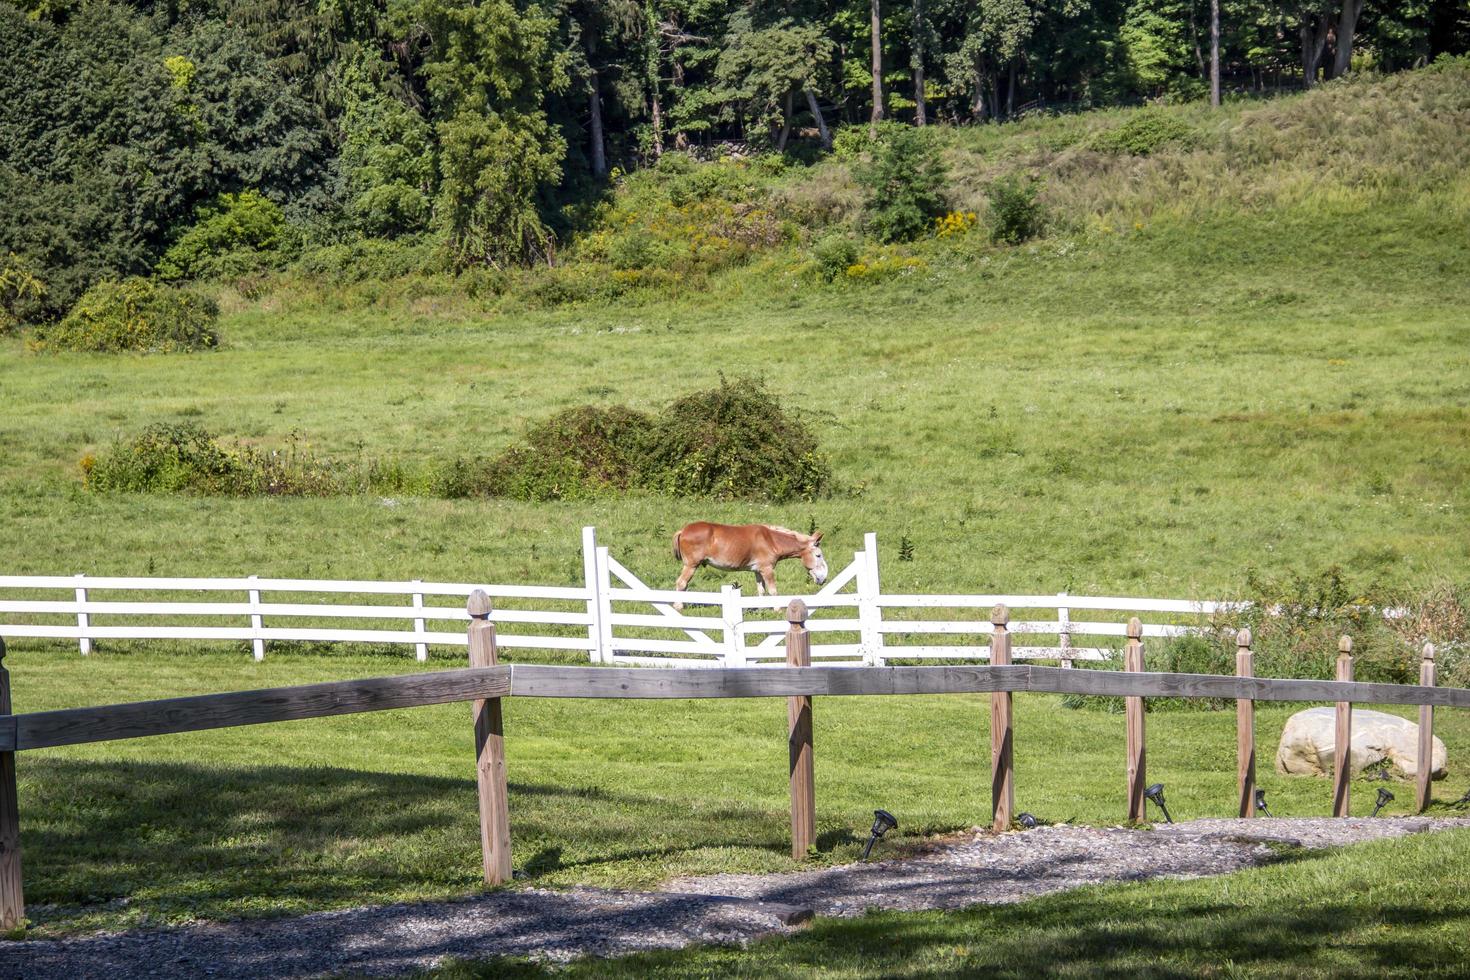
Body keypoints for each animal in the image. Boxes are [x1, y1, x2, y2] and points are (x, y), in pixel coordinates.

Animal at [670, 520, 823, 605]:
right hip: (691, 566)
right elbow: (773, 591)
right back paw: (678, 607)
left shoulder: (758, 571)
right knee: (681, 583)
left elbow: (761, 591)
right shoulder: (767, 569)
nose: (823, 578)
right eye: (818, 555)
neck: (770, 540)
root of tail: (683, 530)